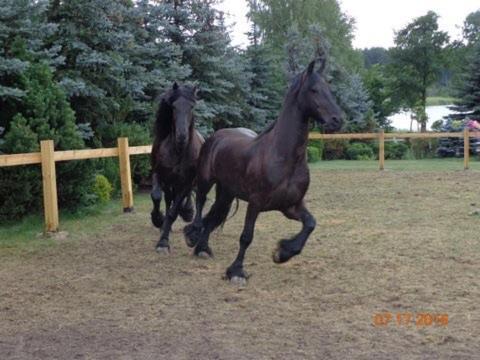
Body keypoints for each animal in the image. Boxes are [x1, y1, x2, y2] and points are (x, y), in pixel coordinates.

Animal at [150, 82, 202, 253]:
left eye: (192, 106)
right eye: (173, 107)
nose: (181, 136)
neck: (179, 151)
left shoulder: (186, 182)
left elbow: (174, 211)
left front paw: (163, 243)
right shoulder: (159, 175)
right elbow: (157, 196)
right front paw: (157, 219)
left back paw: (188, 214)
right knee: (167, 199)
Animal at [183, 59, 342, 282]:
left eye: (329, 88)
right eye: (314, 90)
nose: (337, 120)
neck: (282, 158)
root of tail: (217, 136)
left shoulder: (290, 205)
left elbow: (311, 223)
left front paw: (283, 252)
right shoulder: (255, 203)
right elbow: (246, 236)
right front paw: (236, 271)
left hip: (227, 193)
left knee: (213, 216)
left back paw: (203, 248)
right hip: (206, 181)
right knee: (200, 203)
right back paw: (194, 234)